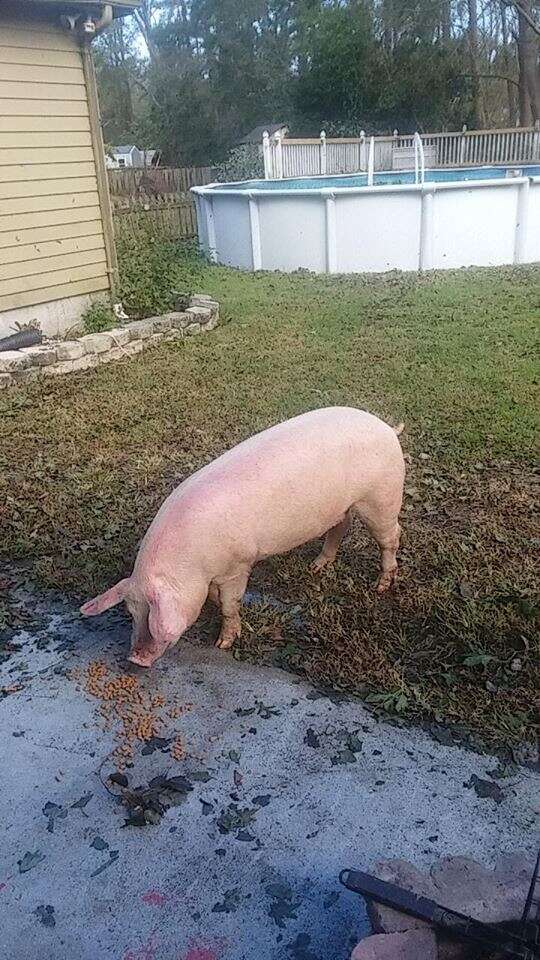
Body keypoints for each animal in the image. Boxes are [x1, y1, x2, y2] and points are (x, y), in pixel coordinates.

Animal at [80, 407, 405, 667]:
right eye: (132, 611)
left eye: (154, 613)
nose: (135, 659)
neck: (193, 567)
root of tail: (387, 428)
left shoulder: (237, 565)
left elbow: (230, 603)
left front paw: (223, 643)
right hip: (344, 506)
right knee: (341, 527)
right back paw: (317, 566)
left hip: (381, 498)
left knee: (391, 537)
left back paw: (381, 586)